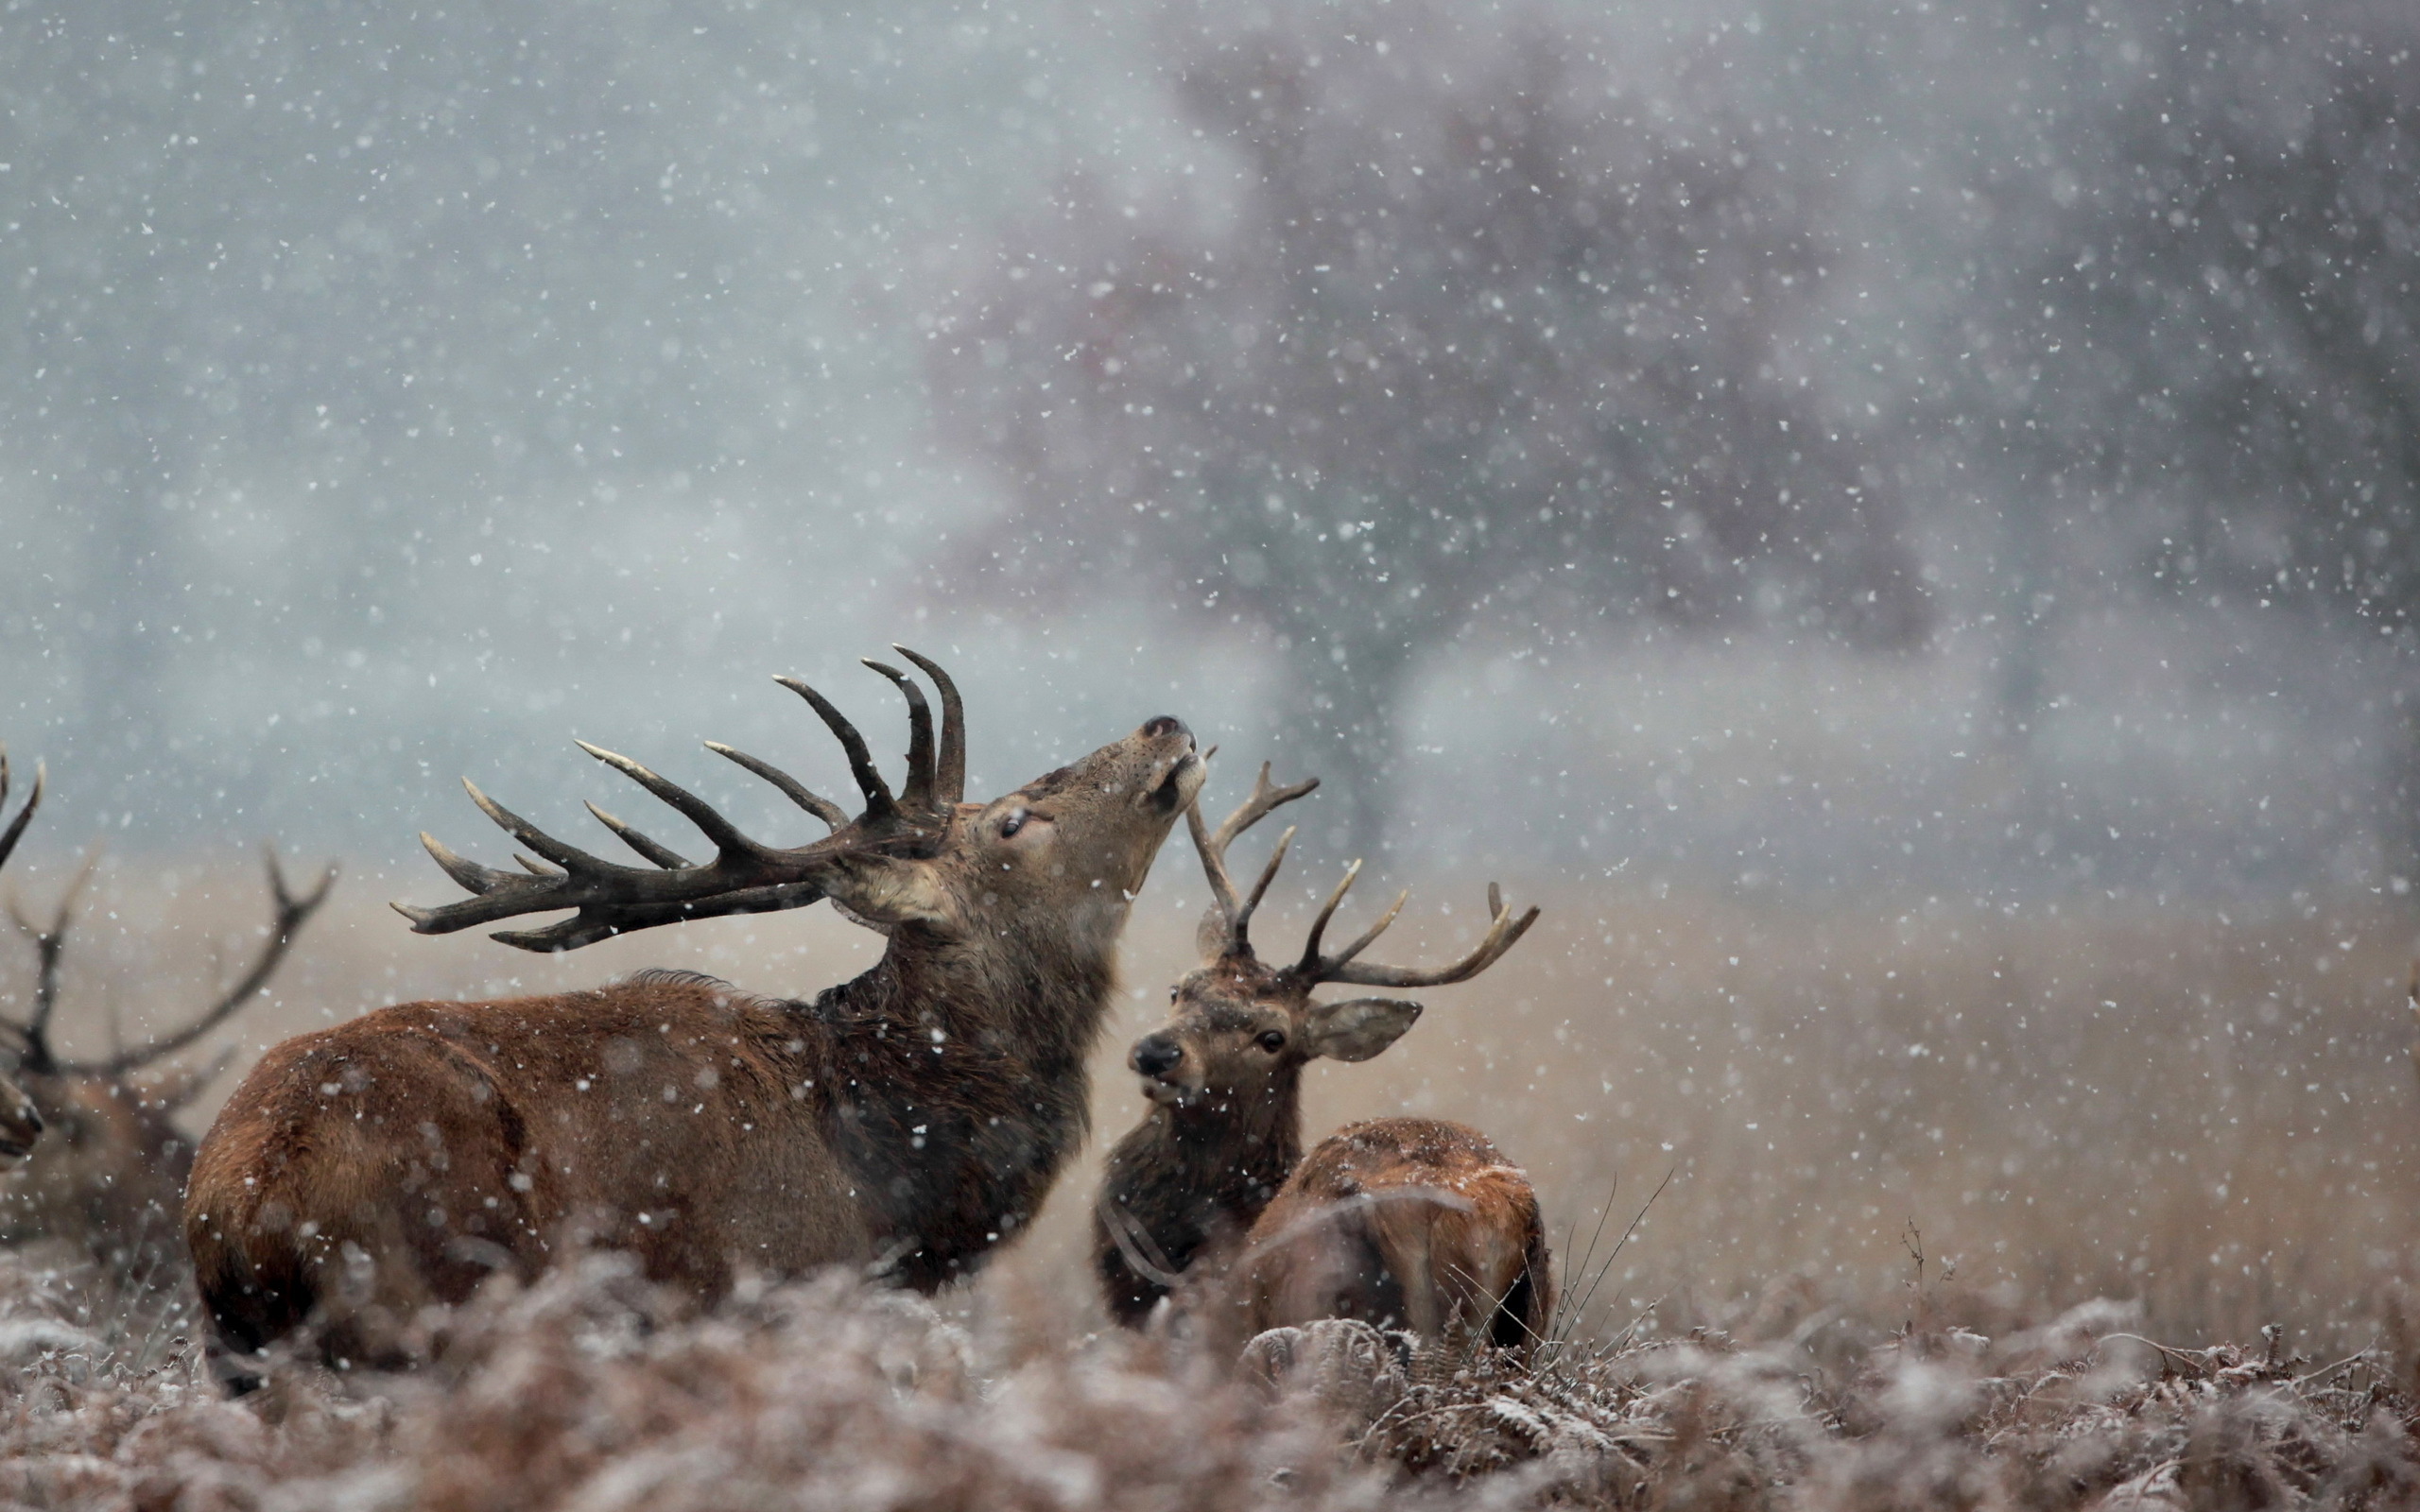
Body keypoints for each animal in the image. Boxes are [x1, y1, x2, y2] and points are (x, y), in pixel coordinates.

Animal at [183, 648, 1204, 1383]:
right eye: (1014, 821)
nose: (1165, 724)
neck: (886, 1190)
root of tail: (243, 1199)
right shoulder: (764, 1293)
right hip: (429, 1308)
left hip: (241, 1357)